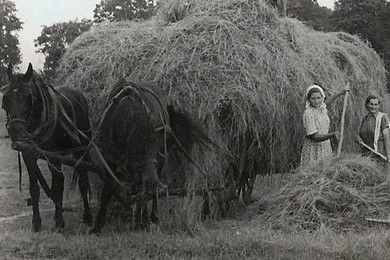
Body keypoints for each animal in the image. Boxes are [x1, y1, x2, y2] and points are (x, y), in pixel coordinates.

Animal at [2, 64, 92, 233]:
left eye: (28, 97)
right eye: (6, 98)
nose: (15, 130)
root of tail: (79, 93)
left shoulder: (54, 155)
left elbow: (58, 187)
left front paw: (60, 222)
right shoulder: (28, 155)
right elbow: (35, 189)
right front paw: (36, 223)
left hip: (81, 149)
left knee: (83, 181)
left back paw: (87, 217)